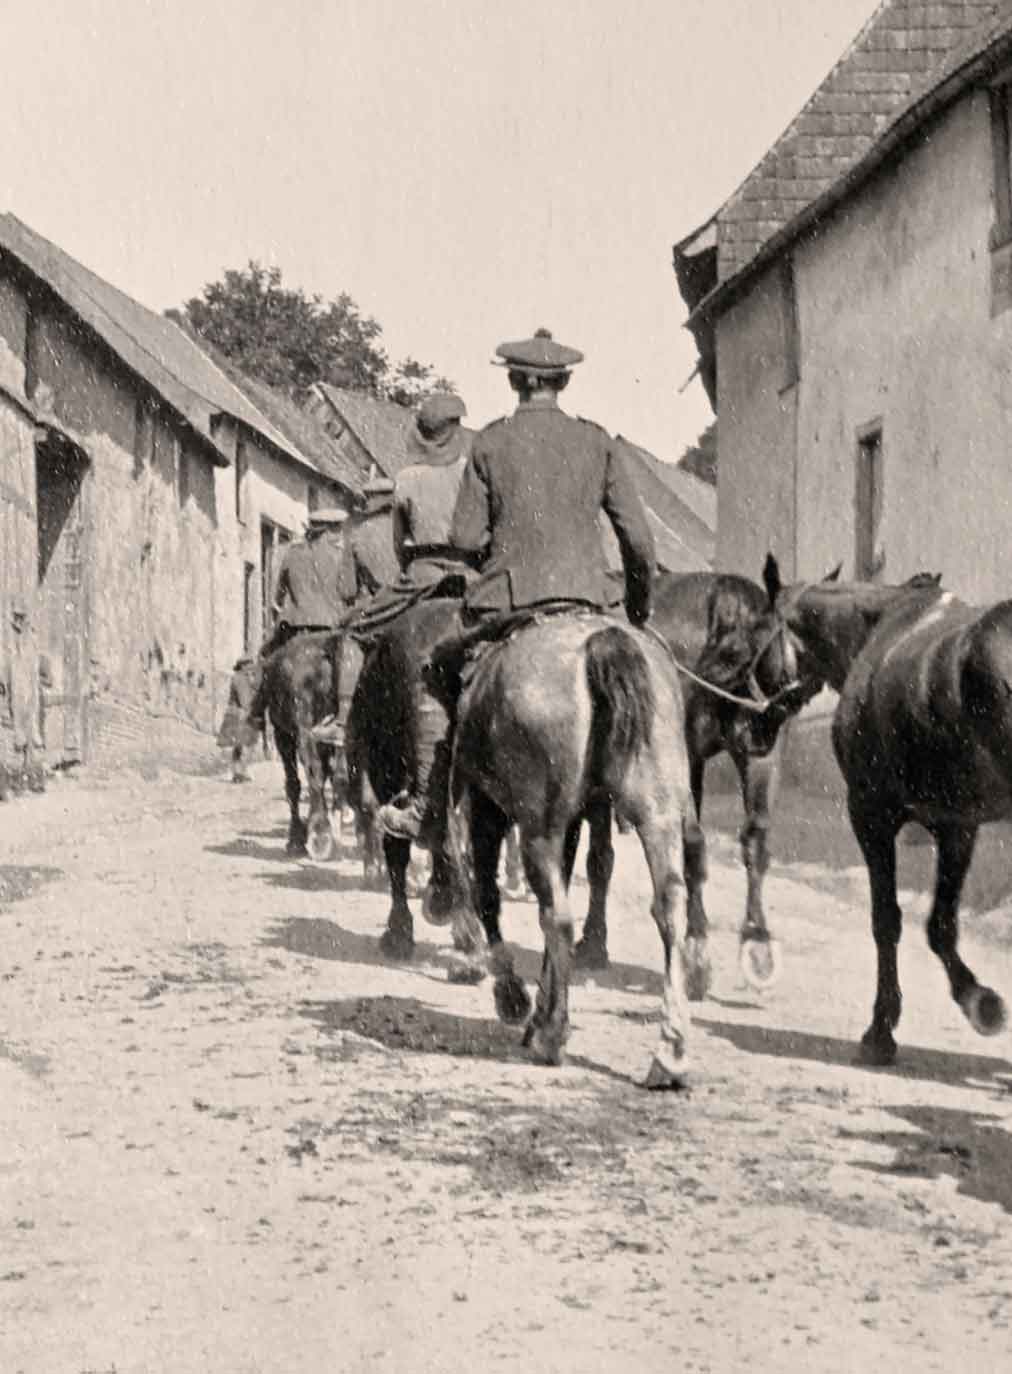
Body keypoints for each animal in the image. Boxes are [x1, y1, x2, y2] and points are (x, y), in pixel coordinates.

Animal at [442, 612, 703, 1082]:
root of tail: (605, 641)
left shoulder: (487, 808)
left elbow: (487, 895)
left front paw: (514, 997)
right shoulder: (576, 821)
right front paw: (538, 1009)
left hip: (538, 829)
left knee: (558, 916)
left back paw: (552, 1037)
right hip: (658, 812)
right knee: (670, 904)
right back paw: (670, 1051)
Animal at [568, 560, 812, 1000]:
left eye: (789, 658)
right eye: (739, 654)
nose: (766, 727)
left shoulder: (753, 758)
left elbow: (754, 839)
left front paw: (757, 941)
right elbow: (688, 845)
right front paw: (696, 946)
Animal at [768, 552, 1005, 1066]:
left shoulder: (870, 816)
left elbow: (887, 920)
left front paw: (880, 1029)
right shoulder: (957, 826)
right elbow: (940, 925)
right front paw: (980, 1001)